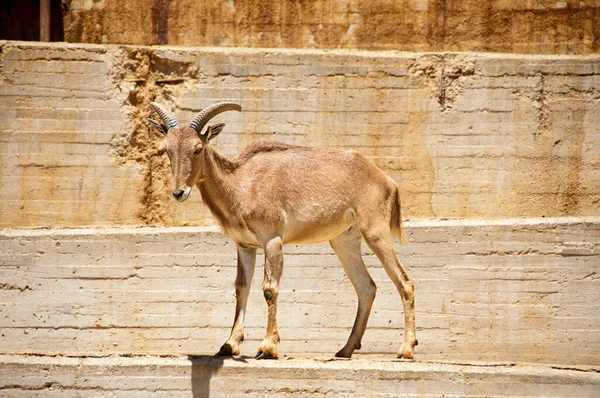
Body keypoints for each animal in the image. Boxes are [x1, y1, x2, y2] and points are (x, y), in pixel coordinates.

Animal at [149, 101, 418, 360]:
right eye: (167, 150)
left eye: (198, 148)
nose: (179, 192)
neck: (241, 183)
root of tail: (387, 181)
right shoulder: (245, 246)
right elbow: (241, 288)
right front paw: (229, 345)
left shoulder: (272, 238)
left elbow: (269, 288)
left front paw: (267, 347)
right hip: (345, 241)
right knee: (366, 287)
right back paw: (345, 349)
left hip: (375, 230)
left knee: (405, 281)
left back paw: (406, 349)